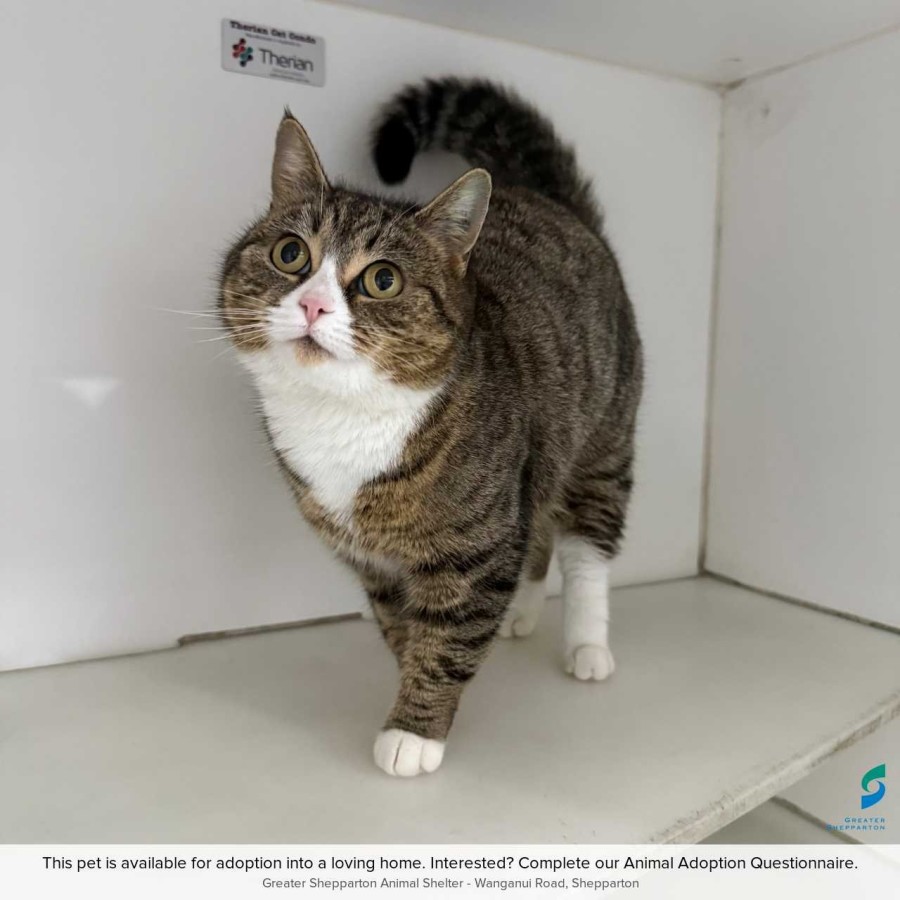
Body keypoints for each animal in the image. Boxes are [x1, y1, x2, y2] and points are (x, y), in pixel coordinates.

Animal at [219, 77, 643, 777]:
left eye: (382, 279)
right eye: (290, 254)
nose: (313, 305)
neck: (342, 419)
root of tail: (554, 203)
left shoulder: (480, 543)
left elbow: (448, 638)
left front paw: (415, 731)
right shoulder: (374, 560)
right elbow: (405, 629)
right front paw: (409, 682)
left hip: (601, 443)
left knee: (586, 548)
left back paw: (587, 646)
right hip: (539, 462)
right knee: (539, 533)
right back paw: (525, 614)